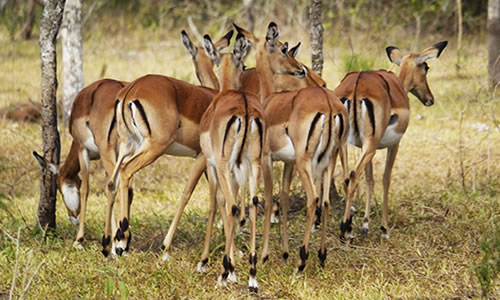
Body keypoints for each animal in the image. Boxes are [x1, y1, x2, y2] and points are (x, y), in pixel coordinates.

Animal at [234, 22, 348, 272]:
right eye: (284, 48)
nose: (299, 68)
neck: (269, 101)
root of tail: (329, 104)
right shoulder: (288, 162)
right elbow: (284, 198)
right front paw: (284, 253)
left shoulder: (266, 158)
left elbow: (268, 200)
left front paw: (264, 255)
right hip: (328, 160)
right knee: (325, 202)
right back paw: (321, 256)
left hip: (307, 163)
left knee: (313, 199)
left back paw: (302, 259)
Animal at [334, 41, 448, 241]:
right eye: (426, 67)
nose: (430, 99)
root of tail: (356, 85)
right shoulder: (395, 144)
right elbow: (386, 178)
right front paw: (384, 229)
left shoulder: (364, 145)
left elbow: (370, 179)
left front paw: (365, 226)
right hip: (370, 146)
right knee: (354, 176)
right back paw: (345, 230)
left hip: (348, 145)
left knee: (347, 178)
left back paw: (348, 228)